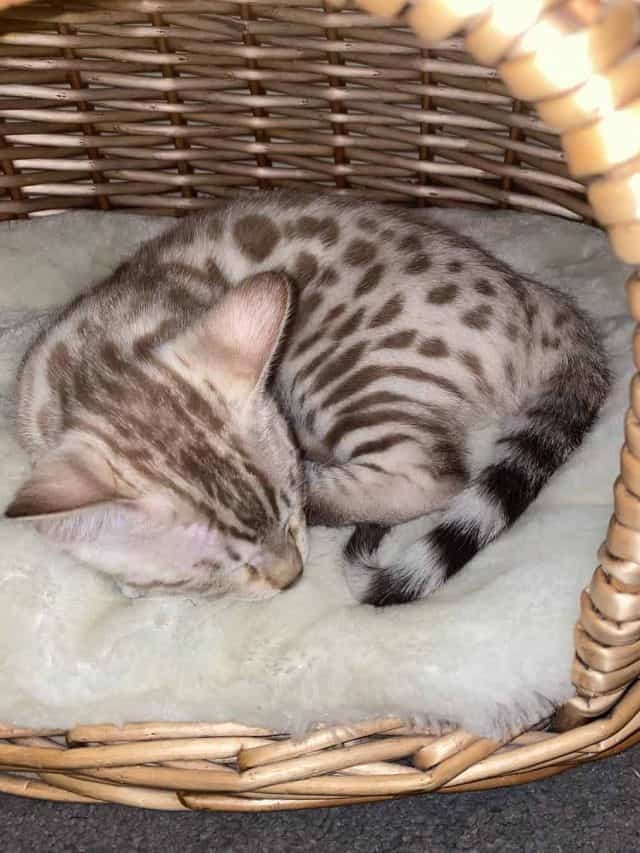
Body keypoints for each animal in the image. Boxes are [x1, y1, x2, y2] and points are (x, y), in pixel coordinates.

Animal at [2, 193, 608, 604]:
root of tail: (537, 296)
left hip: (343, 370)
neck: (102, 350)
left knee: (437, 475)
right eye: (223, 567)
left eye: (290, 513)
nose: (290, 576)